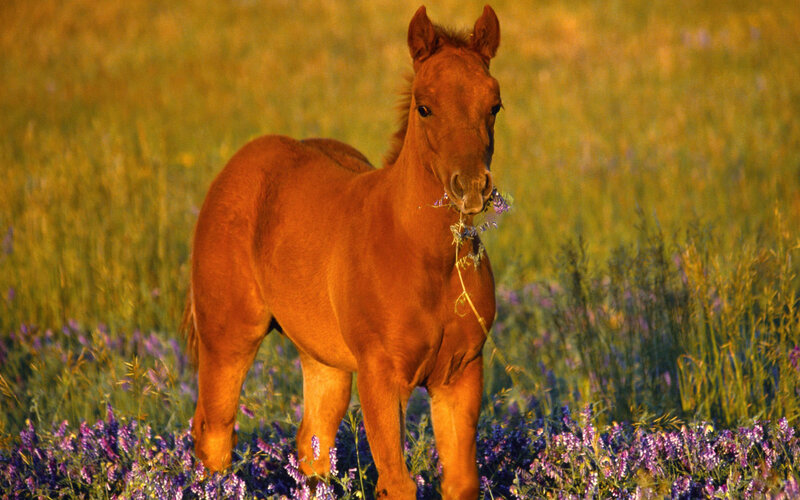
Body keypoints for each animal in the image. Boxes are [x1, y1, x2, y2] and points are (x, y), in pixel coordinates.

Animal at [182, 5, 502, 499]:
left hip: (323, 359)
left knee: (312, 446)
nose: (471, 187)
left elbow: (462, 482)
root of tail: (237, 167)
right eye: (424, 107)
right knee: (214, 435)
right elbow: (396, 482)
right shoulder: (380, 376)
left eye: (494, 105)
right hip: (229, 336)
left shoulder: (460, 373)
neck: (427, 261)